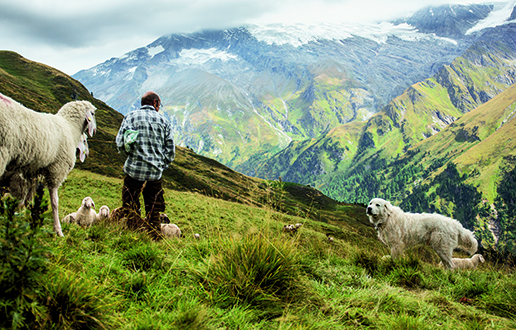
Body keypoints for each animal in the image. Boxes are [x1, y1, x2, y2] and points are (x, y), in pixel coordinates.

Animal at [0, 93, 96, 237]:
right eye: (93, 114)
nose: (94, 130)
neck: (70, 127)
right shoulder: (57, 170)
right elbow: (54, 202)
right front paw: (58, 230)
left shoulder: (33, 172)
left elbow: (29, 200)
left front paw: (28, 220)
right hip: (2, 151)